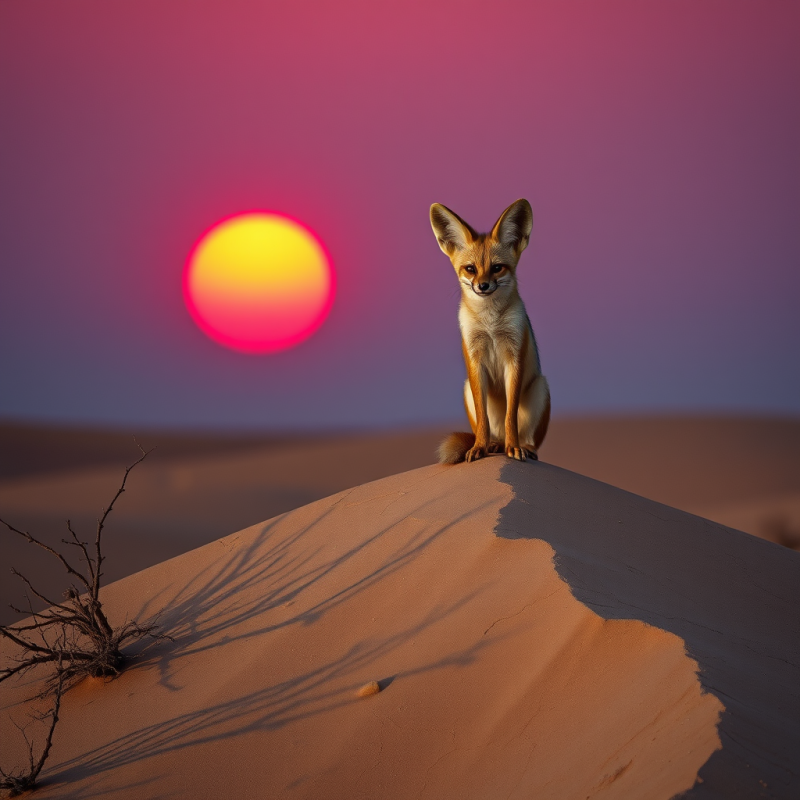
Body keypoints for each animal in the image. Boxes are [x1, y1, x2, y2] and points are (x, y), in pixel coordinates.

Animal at [430, 198, 550, 464]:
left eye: (497, 268)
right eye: (470, 269)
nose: (482, 286)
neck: (491, 325)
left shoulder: (514, 357)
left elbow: (510, 417)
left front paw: (514, 448)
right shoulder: (474, 360)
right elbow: (483, 419)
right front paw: (479, 447)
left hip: (540, 388)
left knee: (526, 436)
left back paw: (521, 446)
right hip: (466, 387)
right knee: (490, 431)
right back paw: (493, 445)